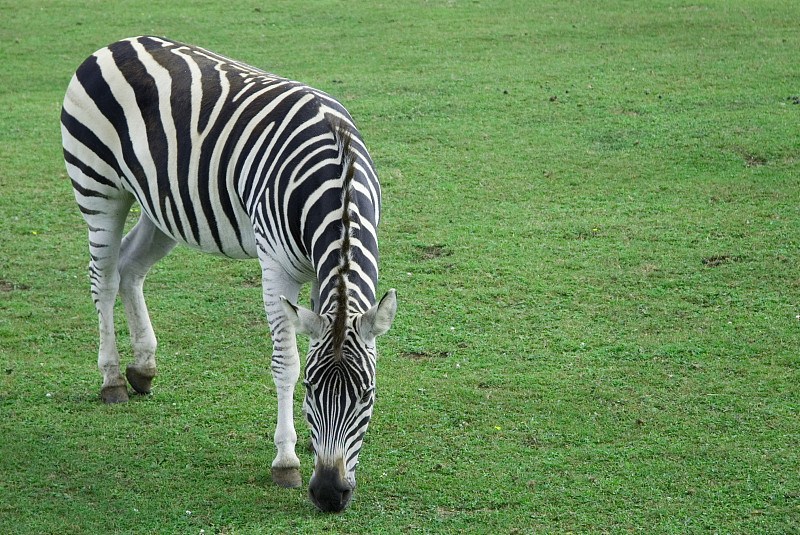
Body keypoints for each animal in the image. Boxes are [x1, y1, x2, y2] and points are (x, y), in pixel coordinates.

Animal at [61, 35, 398, 512]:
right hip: (98, 188)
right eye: (312, 390)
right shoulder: (276, 267)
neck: (339, 172)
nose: (330, 494)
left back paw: (143, 367)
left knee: (129, 267)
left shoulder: (321, 276)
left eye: (366, 395)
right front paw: (287, 461)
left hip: (162, 205)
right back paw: (111, 379)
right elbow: (285, 363)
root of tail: (117, 43)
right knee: (103, 278)